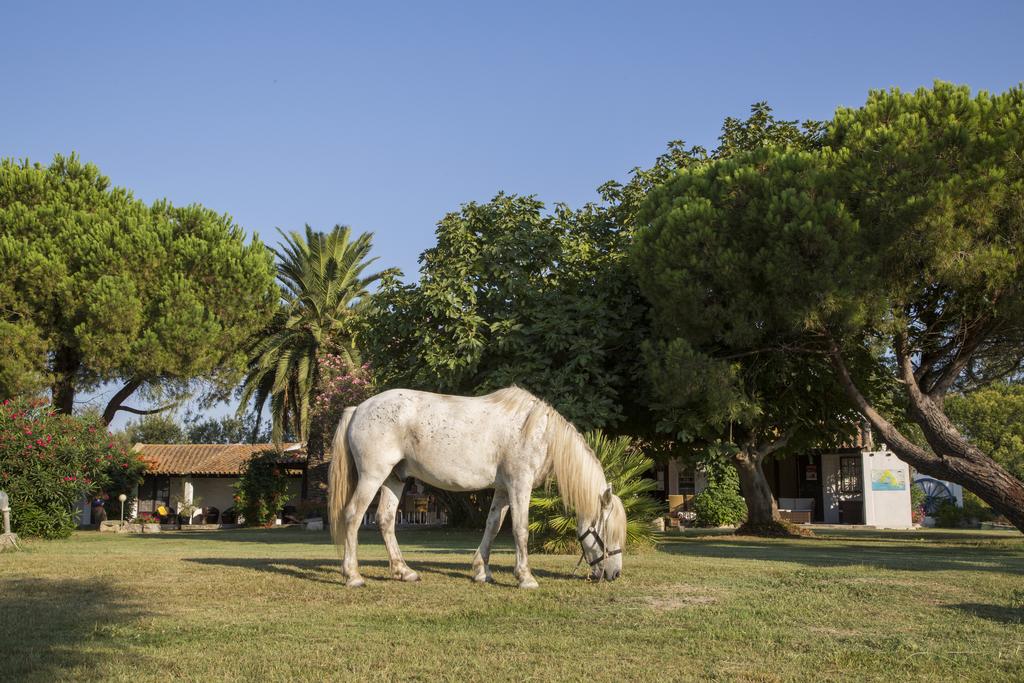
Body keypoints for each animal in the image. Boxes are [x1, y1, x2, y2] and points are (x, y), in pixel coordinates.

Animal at [327, 387, 626, 589]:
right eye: (608, 532)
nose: (615, 574)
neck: (539, 432)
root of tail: (358, 409)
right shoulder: (520, 485)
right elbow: (520, 530)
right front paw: (525, 577)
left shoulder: (503, 490)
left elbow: (493, 526)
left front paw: (483, 572)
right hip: (372, 476)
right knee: (353, 516)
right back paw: (353, 576)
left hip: (394, 478)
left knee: (386, 519)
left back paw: (404, 571)